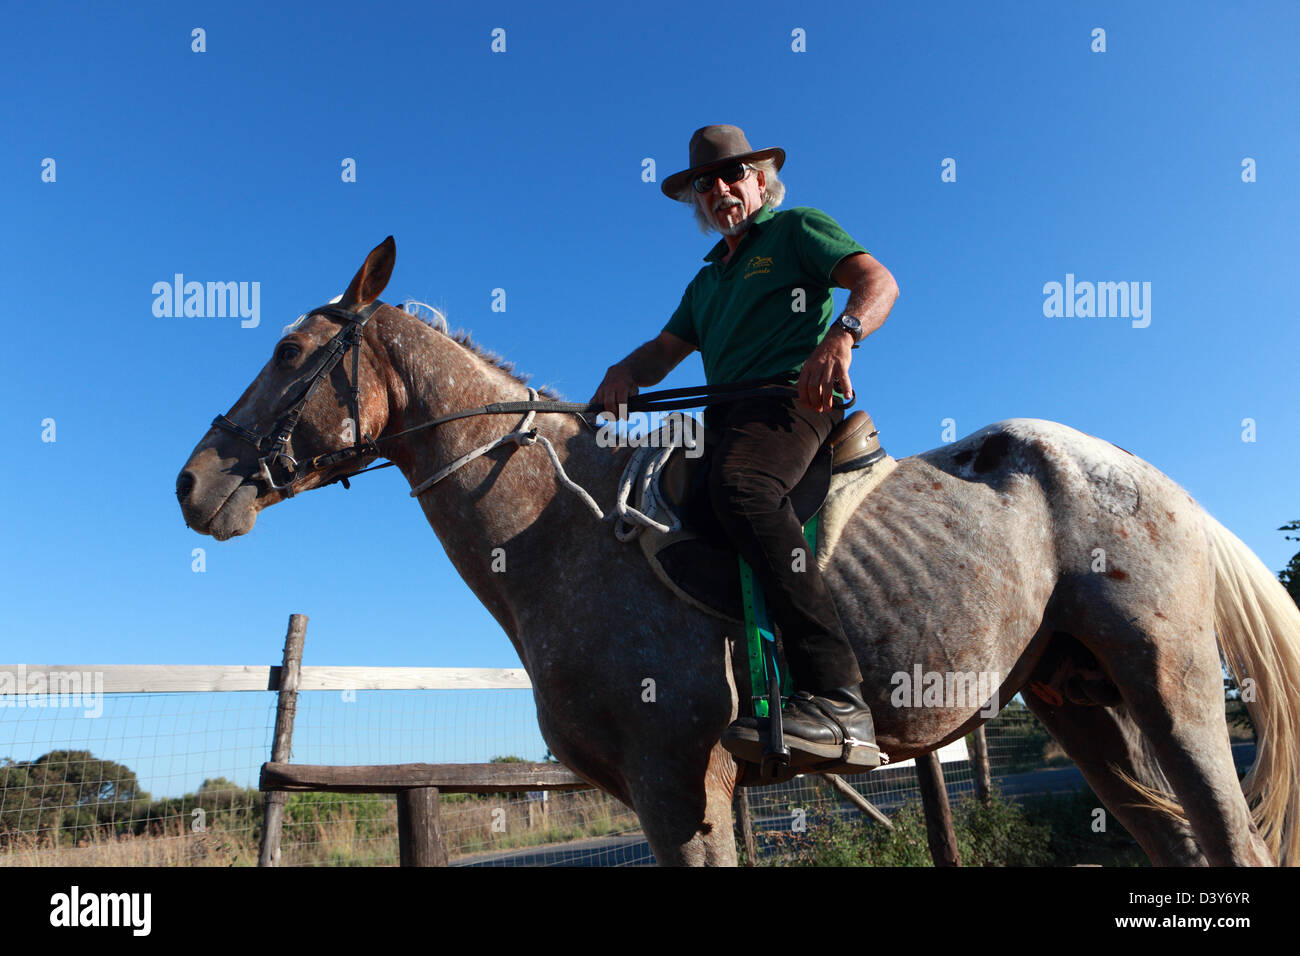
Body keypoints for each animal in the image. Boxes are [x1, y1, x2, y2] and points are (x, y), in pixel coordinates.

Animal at [175, 239, 1300, 868]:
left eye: (287, 351)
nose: (193, 482)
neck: (563, 530)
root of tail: (1148, 475)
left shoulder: (679, 781)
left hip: (1170, 688)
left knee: (1232, 838)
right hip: (1082, 702)